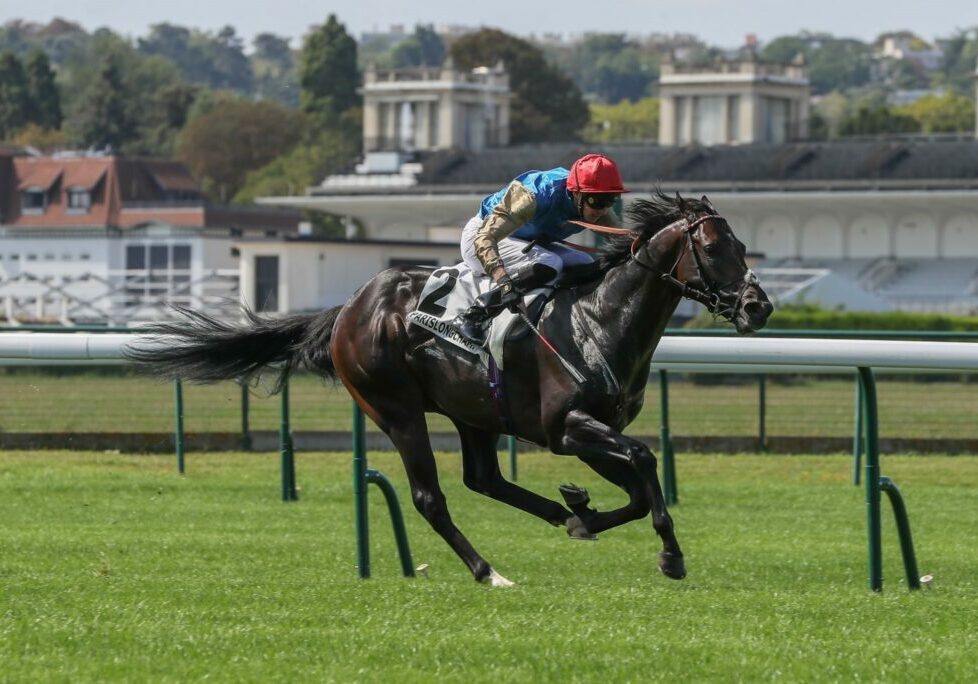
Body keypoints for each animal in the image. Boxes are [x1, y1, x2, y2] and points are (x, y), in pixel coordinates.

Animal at [127, 192, 772, 588]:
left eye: (742, 247)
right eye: (712, 248)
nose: (758, 307)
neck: (600, 318)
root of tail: (348, 309)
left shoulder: (590, 431)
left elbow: (637, 488)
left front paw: (582, 513)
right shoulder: (566, 428)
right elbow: (643, 462)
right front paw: (671, 554)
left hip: (474, 412)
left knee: (483, 478)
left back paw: (561, 511)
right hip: (396, 409)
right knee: (430, 498)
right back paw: (489, 571)